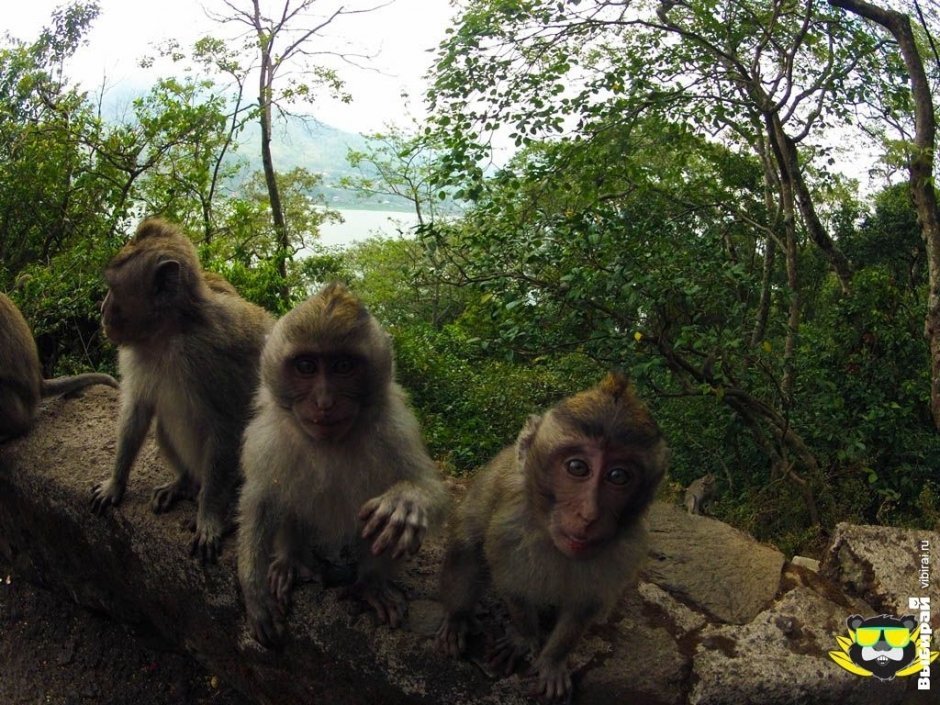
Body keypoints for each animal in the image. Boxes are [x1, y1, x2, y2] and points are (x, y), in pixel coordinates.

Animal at [90, 217, 274, 564]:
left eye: (114, 290)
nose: (102, 310)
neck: (168, 334)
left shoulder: (212, 352)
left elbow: (228, 425)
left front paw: (209, 519)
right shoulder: (136, 354)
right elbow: (136, 411)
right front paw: (115, 483)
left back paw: (225, 506)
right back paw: (184, 483)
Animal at [241, 284, 450, 648]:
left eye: (342, 366)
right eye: (306, 366)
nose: (324, 402)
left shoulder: (394, 429)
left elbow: (427, 489)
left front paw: (407, 501)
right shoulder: (268, 435)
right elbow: (261, 499)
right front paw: (254, 592)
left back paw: (371, 583)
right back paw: (292, 558)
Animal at [436, 372, 664, 700]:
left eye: (618, 476)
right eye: (577, 467)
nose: (589, 514)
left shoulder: (627, 550)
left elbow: (584, 606)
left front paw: (553, 660)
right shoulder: (511, 525)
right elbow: (511, 582)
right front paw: (524, 637)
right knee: (467, 545)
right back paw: (457, 618)